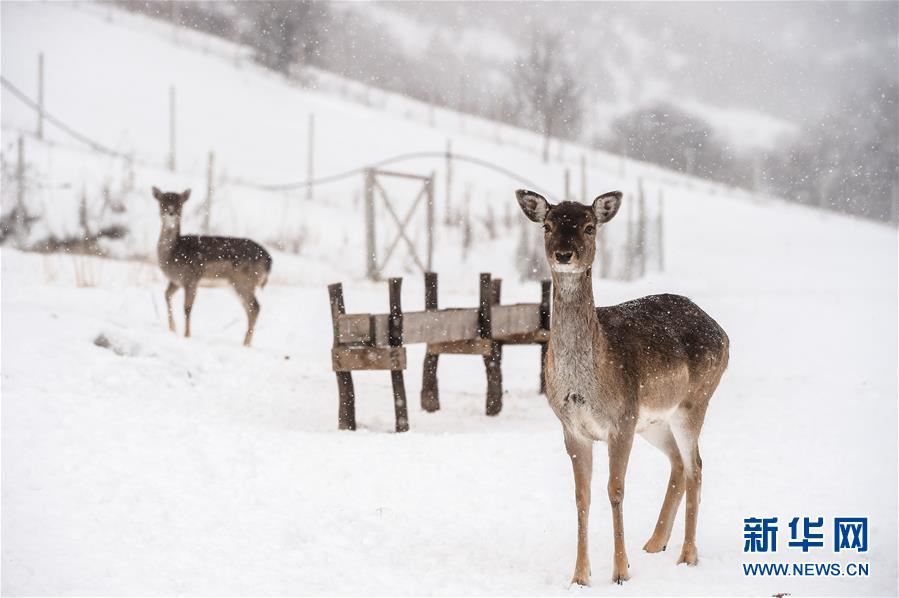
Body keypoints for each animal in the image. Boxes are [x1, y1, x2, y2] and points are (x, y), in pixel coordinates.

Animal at [152, 187, 272, 347]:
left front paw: (187, 335)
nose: (171, 212)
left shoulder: (191, 278)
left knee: (255, 307)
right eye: (163, 202)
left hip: (244, 282)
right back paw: (246, 342)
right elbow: (167, 295)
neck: (173, 255)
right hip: (237, 285)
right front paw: (173, 329)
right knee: (250, 309)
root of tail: (268, 260)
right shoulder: (176, 280)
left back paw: (245, 344)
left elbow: (187, 308)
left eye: (180, 204)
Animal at [515, 189, 729, 586]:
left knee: (696, 465)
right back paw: (654, 543)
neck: (586, 385)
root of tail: (723, 333)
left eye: (589, 226)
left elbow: (615, 490)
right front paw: (579, 577)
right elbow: (581, 496)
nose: (563, 254)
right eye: (547, 225)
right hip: (655, 422)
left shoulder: (622, 420)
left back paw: (687, 555)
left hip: (695, 401)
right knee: (678, 463)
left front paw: (620, 572)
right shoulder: (572, 428)